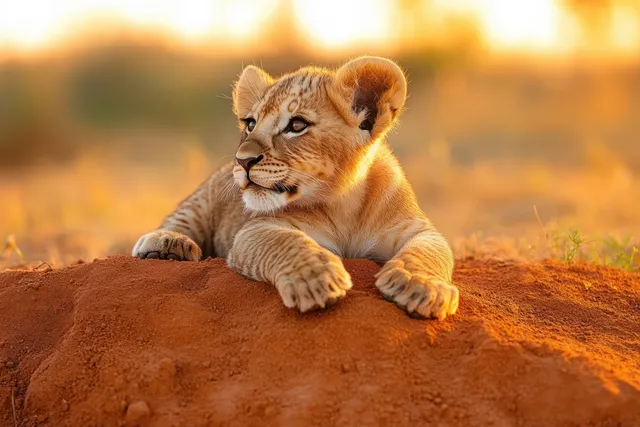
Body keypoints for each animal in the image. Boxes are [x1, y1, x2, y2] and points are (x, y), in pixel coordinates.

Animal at [132, 56, 458, 320]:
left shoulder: (416, 228)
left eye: (297, 125)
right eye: (250, 124)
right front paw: (315, 278)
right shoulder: (256, 229)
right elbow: (285, 242)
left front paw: (420, 286)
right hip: (202, 200)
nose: (242, 160)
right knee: (179, 218)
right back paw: (168, 245)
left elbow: (429, 251)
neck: (345, 204)